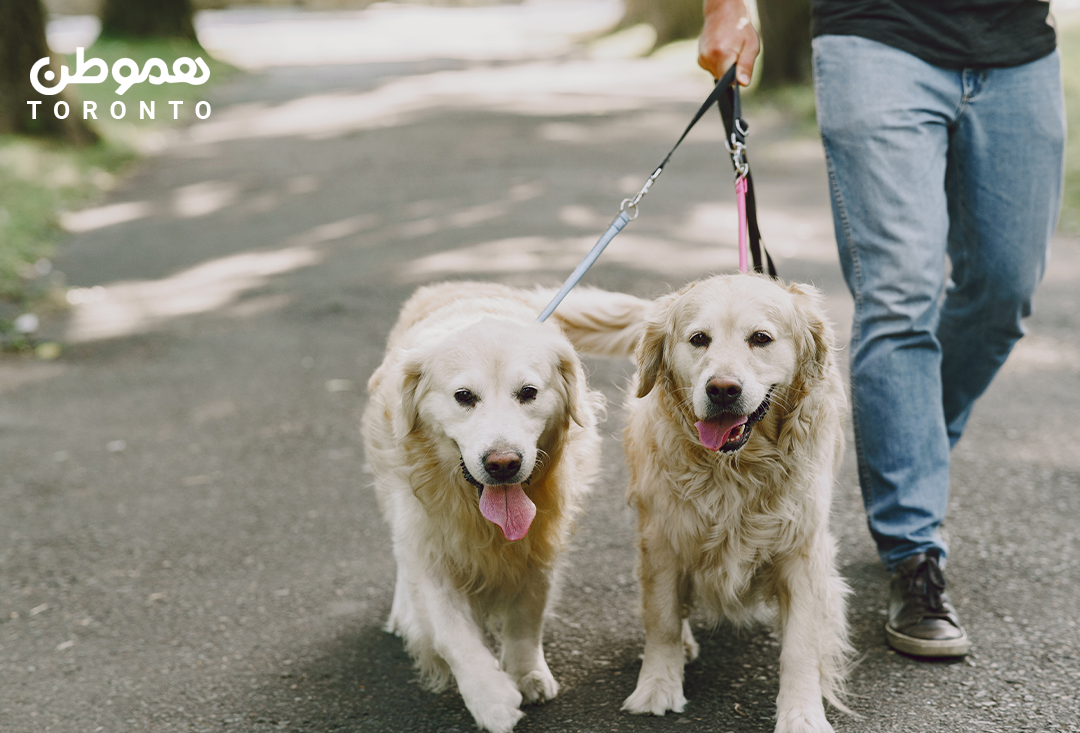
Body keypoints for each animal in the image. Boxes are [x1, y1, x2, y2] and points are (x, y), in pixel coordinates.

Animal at [360, 280, 626, 733]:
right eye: (464, 396)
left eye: (529, 393)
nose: (504, 464)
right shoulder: (430, 549)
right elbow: (452, 634)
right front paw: (490, 698)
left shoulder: (539, 546)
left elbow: (526, 618)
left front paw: (526, 673)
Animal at [574, 275, 851, 733]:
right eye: (699, 339)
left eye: (761, 338)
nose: (722, 389)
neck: (736, 469)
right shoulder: (662, 539)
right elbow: (663, 619)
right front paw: (657, 686)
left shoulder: (803, 549)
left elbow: (801, 644)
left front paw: (802, 713)